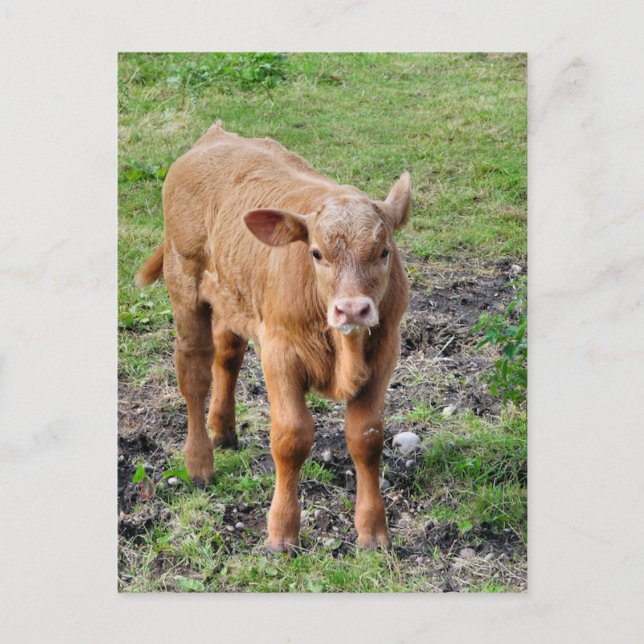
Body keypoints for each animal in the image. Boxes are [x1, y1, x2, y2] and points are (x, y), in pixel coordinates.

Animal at [135, 121, 411, 551]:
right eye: (316, 253)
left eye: (384, 252)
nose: (352, 310)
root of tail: (214, 136)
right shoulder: (280, 352)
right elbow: (291, 437)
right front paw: (281, 533)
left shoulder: (384, 352)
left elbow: (367, 437)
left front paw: (373, 532)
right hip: (184, 285)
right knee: (194, 373)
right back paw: (199, 464)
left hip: (233, 298)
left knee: (227, 355)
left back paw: (224, 430)